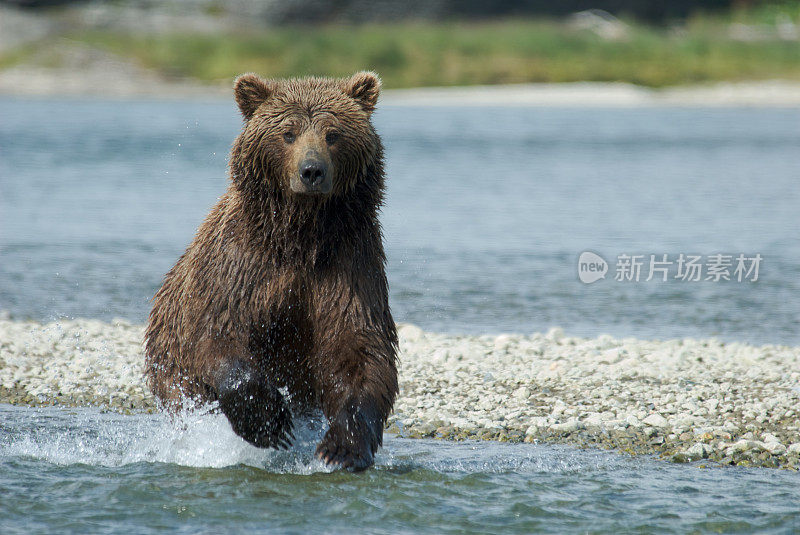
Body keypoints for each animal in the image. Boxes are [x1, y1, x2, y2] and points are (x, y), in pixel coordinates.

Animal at [145, 72, 400, 474]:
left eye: (333, 134)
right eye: (288, 133)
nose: (312, 171)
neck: (301, 235)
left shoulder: (349, 266)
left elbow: (360, 346)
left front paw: (343, 447)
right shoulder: (242, 265)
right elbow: (219, 330)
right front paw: (270, 420)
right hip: (170, 365)